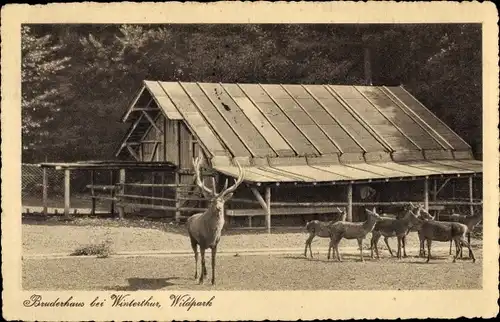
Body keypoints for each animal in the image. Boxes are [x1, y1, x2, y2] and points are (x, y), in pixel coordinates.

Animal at [186, 156, 244, 284]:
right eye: (212, 201)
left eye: (222, 201)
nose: (218, 208)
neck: (211, 234)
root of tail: (190, 217)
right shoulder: (202, 242)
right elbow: (202, 260)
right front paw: (201, 280)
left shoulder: (216, 244)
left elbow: (213, 262)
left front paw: (213, 280)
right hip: (192, 239)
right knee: (196, 256)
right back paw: (196, 275)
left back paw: (205, 274)